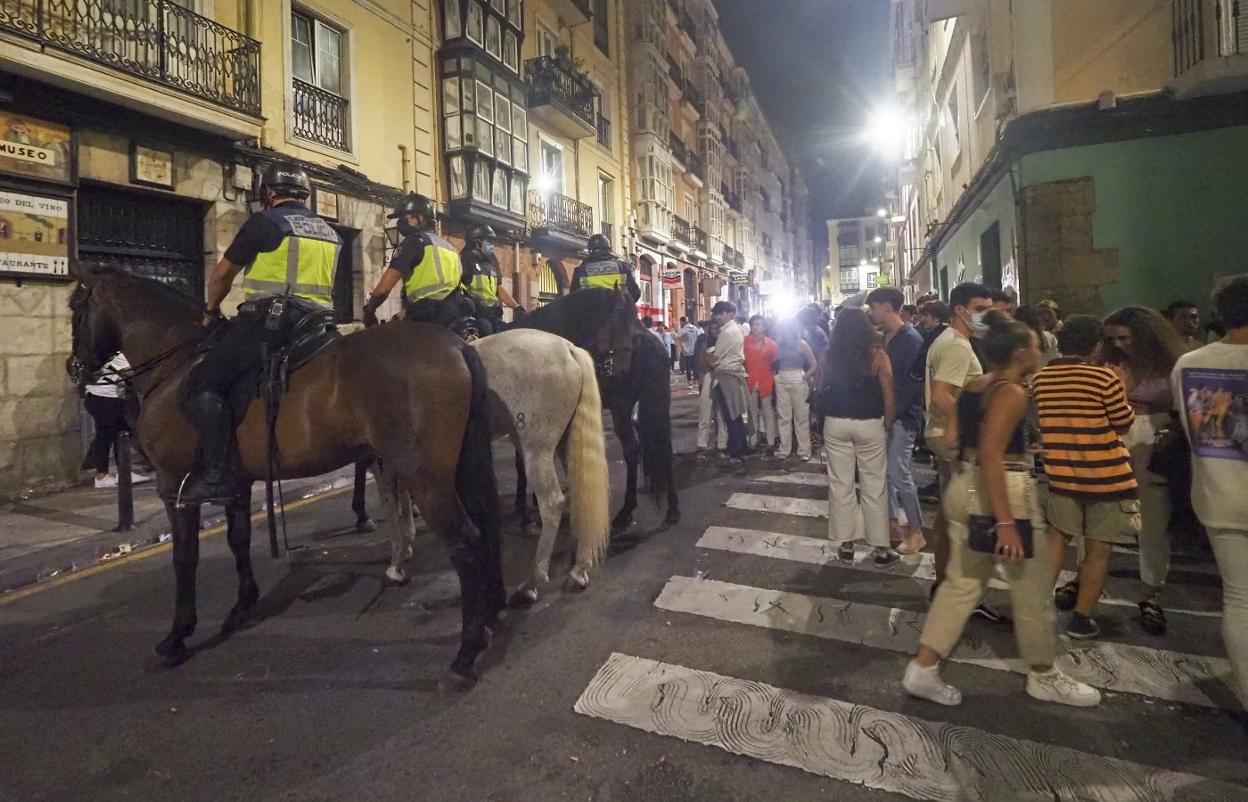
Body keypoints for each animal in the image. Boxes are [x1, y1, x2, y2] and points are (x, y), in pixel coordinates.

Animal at [68, 273, 504, 688]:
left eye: (75, 307)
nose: (75, 368)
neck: (175, 366)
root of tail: (458, 346)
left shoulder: (174, 486)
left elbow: (185, 558)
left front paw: (177, 637)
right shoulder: (237, 483)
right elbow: (239, 540)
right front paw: (242, 607)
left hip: (425, 476)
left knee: (465, 542)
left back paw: (465, 655)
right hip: (455, 467)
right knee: (485, 525)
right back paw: (488, 618)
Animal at [379, 329, 614, 606]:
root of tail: (567, 348)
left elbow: (391, 508)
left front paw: (395, 564)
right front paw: (406, 549)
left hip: (536, 450)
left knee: (552, 503)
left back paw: (531, 585)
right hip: (565, 441)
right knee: (582, 494)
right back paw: (579, 570)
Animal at [516, 290, 683, 533]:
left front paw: (529, 510)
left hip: (621, 407)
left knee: (633, 450)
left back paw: (626, 511)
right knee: (659, 446)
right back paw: (670, 509)